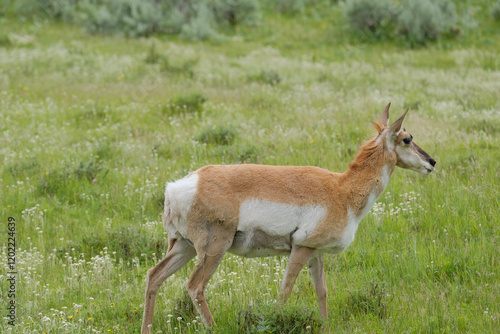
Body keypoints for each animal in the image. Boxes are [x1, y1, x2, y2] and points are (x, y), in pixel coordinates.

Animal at [141, 103, 434, 332]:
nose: (432, 162)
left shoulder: (316, 253)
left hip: (184, 246)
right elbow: (285, 292)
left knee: (154, 276)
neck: (342, 190)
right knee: (195, 286)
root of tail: (178, 186)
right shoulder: (301, 249)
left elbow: (322, 292)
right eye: (407, 138)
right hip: (213, 250)